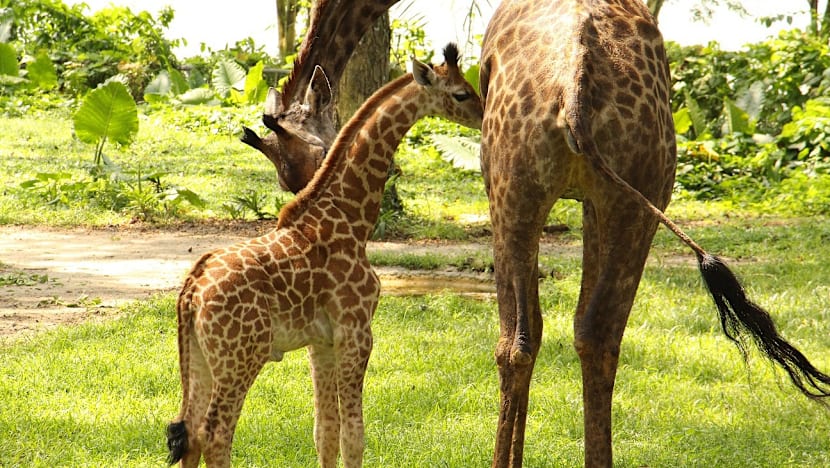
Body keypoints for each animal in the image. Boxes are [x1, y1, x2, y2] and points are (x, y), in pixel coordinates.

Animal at [165, 44, 482, 468]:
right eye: (461, 93)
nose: (483, 114)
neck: (351, 217)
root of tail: (191, 291)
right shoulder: (357, 331)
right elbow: (354, 435)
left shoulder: (321, 341)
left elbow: (325, 431)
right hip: (241, 357)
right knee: (214, 434)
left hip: (201, 355)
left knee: (190, 434)